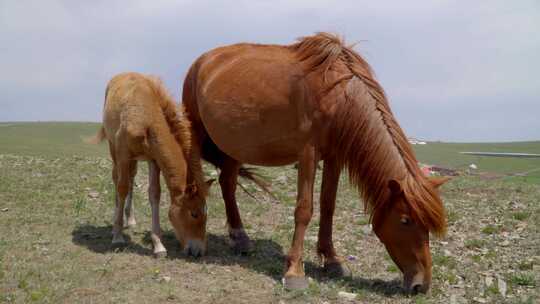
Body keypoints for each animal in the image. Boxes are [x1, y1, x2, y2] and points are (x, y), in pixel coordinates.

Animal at [92, 73, 210, 256]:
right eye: (194, 214)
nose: (198, 251)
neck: (146, 118)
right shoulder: (123, 153)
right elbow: (121, 188)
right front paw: (117, 236)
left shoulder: (154, 159)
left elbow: (154, 193)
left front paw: (158, 245)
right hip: (114, 149)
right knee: (118, 179)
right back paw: (116, 223)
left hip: (135, 160)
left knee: (131, 178)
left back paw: (130, 219)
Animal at [181, 32, 448, 292]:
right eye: (405, 220)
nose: (421, 285)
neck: (338, 94)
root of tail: (200, 63)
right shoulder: (308, 153)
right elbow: (304, 209)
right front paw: (294, 271)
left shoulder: (334, 157)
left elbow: (328, 206)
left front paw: (332, 260)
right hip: (196, 132)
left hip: (235, 145)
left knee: (228, 183)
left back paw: (240, 238)